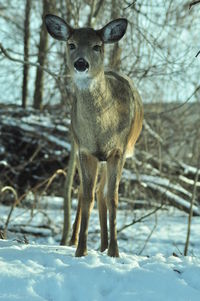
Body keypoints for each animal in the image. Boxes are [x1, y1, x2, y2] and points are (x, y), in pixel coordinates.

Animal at [44, 15, 143, 256]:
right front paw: (81, 251)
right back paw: (82, 241)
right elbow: (87, 196)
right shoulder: (86, 150)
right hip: (82, 149)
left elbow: (113, 198)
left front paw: (115, 252)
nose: (81, 63)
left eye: (97, 46)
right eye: (71, 44)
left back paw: (106, 245)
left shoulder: (117, 150)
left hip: (116, 155)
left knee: (102, 193)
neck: (102, 129)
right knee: (87, 192)